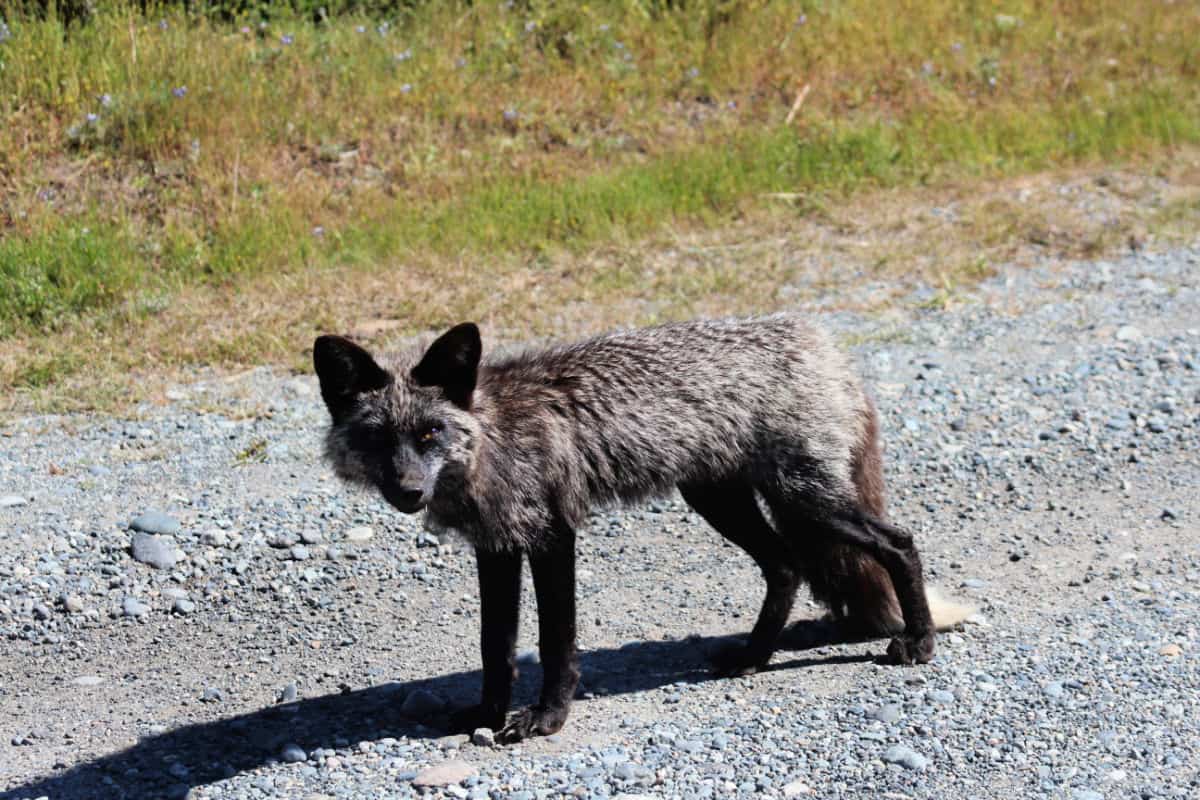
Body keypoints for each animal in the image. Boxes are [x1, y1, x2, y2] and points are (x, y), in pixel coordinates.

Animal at [314, 314, 969, 743]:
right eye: (379, 439)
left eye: (430, 434)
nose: (408, 492)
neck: (493, 439)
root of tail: (826, 349)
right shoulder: (496, 547)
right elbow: (494, 646)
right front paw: (485, 714)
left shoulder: (552, 535)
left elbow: (554, 642)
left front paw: (547, 719)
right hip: (721, 501)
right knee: (786, 567)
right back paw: (753, 657)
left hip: (807, 501)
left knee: (899, 543)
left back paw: (920, 642)